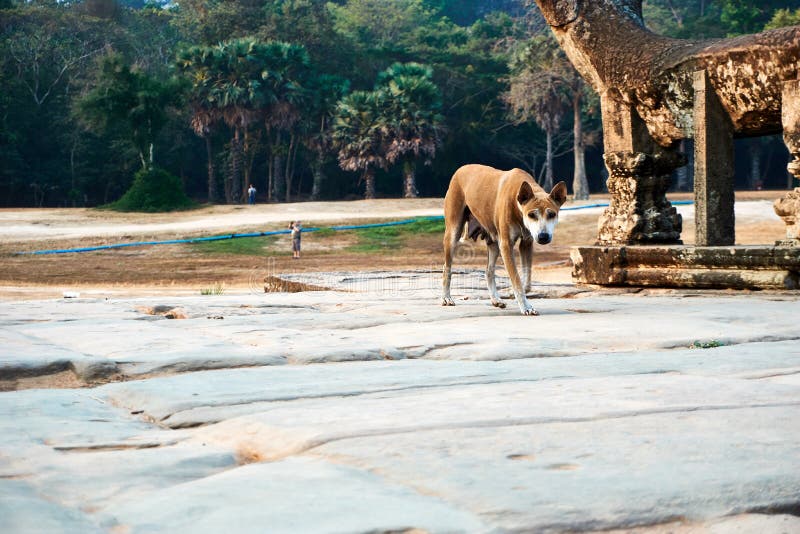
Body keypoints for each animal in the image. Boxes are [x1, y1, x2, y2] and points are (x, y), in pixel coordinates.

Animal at [440, 165, 564, 316]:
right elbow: (516, 278)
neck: (517, 206)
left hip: (493, 242)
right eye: (531, 215)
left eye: (552, 214)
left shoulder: (527, 243)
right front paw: (526, 306)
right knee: (447, 267)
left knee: (489, 270)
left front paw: (515, 294)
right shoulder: (506, 245)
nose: (543, 236)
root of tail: (460, 169)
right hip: (453, 231)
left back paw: (495, 299)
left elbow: (527, 280)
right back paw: (446, 297)